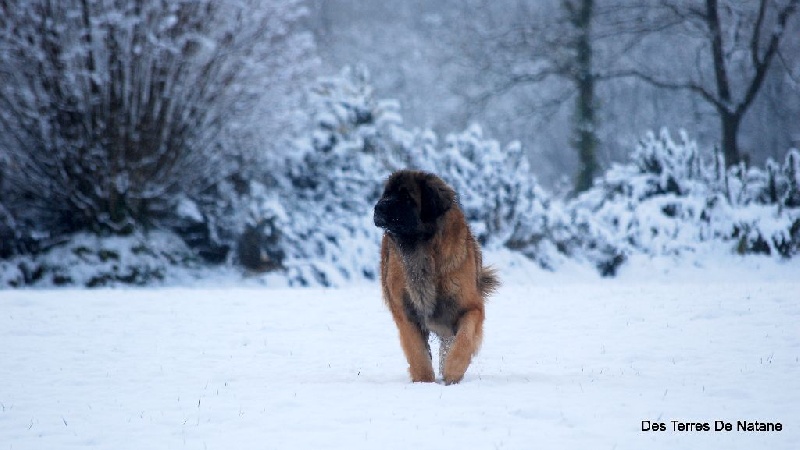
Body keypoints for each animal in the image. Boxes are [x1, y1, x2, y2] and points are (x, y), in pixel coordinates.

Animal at [374, 169, 496, 384]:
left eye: (406, 197)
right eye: (386, 193)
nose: (378, 208)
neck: (423, 249)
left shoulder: (470, 307)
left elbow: (464, 338)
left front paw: (453, 370)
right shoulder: (406, 313)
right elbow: (417, 353)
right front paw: (424, 381)